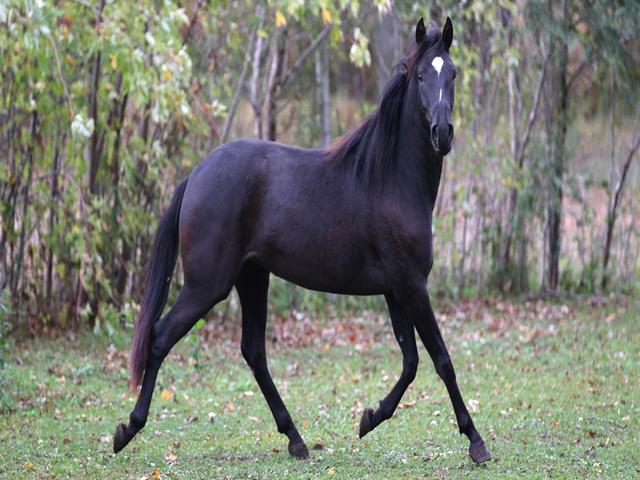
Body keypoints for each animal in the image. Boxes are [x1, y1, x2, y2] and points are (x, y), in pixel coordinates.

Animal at [113, 17, 491, 465]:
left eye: (452, 73)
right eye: (419, 76)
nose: (442, 133)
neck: (390, 181)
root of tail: (197, 174)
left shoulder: (396, 290)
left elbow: (411, 362)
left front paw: (369, 418)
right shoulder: (412, 286)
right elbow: (441, 360)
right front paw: (476, 441)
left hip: (252, 278)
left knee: (253, 352)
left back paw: (295, 438)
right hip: (207, 286)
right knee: (160, 338)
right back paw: (127, 429)